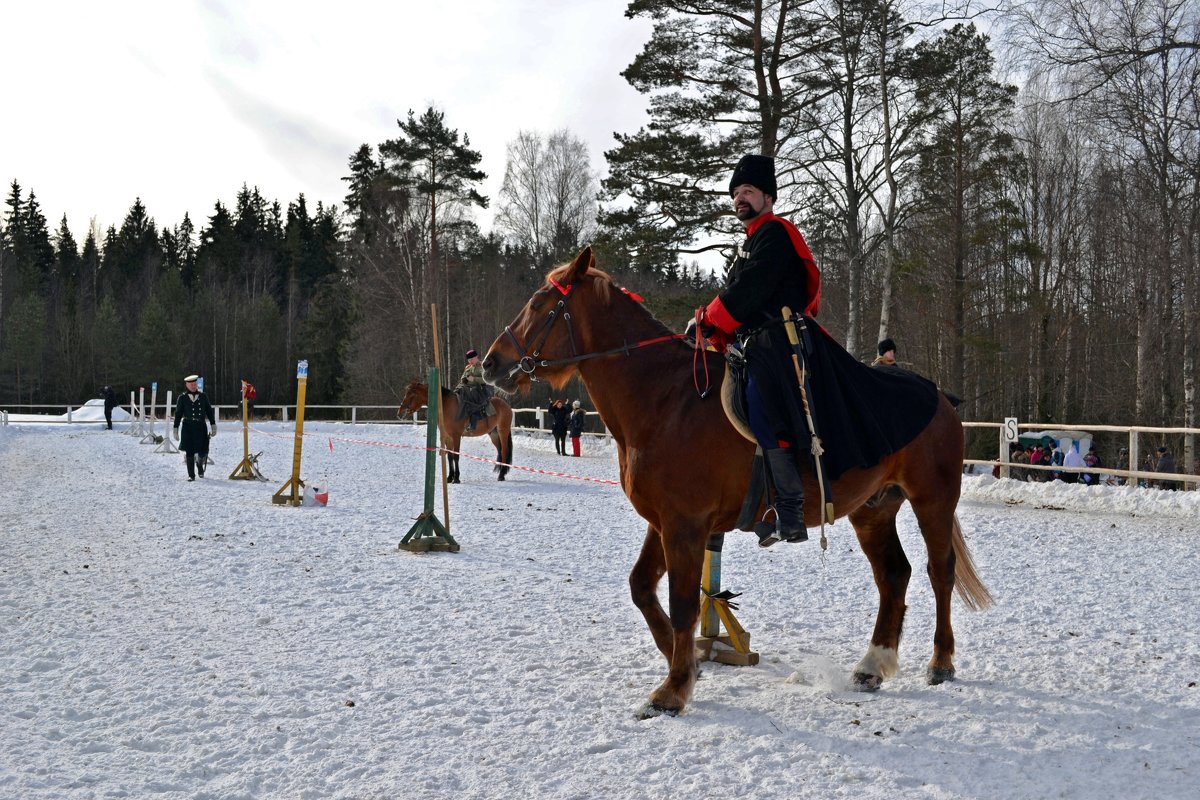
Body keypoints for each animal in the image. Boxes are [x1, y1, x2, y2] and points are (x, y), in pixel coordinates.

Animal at [480, 245, 993, 719]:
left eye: (541, 303)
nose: (489, 363)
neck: (663, 400)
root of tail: (938, 396)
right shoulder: (663, 522)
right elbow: (642, 587)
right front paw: (684, 661)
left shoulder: (685, 525)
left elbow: (684, 603)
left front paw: (673, 688)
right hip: (874, 509)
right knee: (893, 576)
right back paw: (872, 665)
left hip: (932, 500)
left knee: (939, 572)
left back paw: (941, 662)